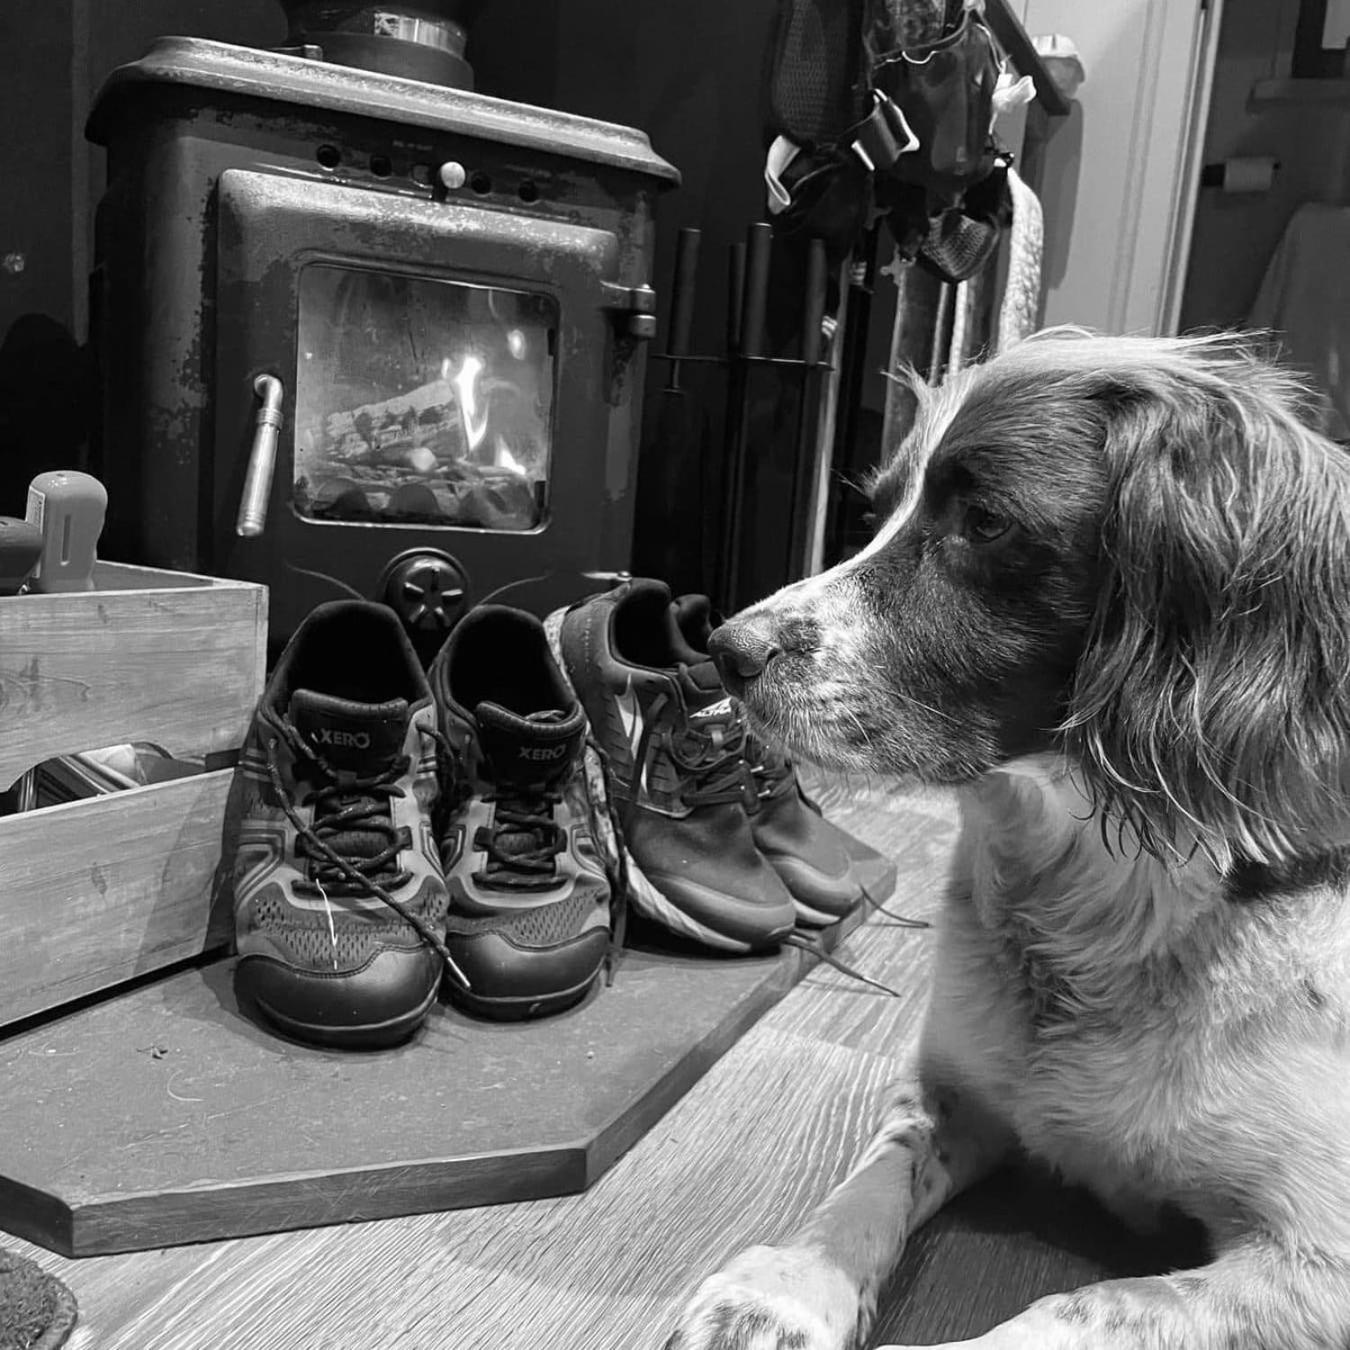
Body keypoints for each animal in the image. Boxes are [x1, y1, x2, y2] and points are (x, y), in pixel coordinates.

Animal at [661, 329, 1350, 1350]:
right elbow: (872, 1180)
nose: (726, 648)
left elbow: (1074, 1311)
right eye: (875, 510)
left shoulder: (1317, 1262)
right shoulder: (951, 1090)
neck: (1091, 904)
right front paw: (781, 1290)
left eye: (984, 522)